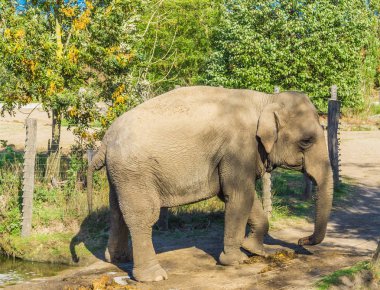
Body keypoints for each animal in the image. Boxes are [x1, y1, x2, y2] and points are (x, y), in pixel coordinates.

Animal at [86, 85, 332, 282]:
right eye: (306, 141)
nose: (301, 240)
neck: (266, 100)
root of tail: (106, 140)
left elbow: (242, 195)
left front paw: (257, 250)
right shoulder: (239, 149)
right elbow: (239, 195)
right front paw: (236, 260)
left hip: (120, 174)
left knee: (116, 210)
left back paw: (117, 258)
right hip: (135, 171)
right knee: (143, 215)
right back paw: (154, 277)